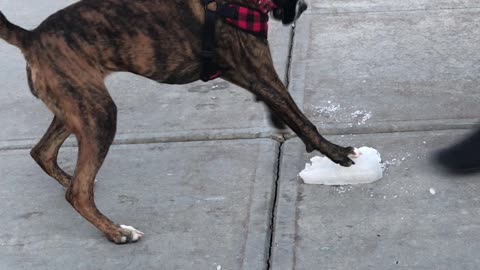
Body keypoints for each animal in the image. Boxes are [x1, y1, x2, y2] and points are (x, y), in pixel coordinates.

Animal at [0, 0, 358, 245]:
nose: (303, 7)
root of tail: (31, 37)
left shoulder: (249, 76)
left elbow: (285, 112)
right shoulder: (260, 73)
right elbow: (301, 119)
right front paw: (336, 153)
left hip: (76, 106)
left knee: (43, 153)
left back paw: (72, 179)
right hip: (97, 112)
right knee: (77, 192)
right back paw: (116, 231)